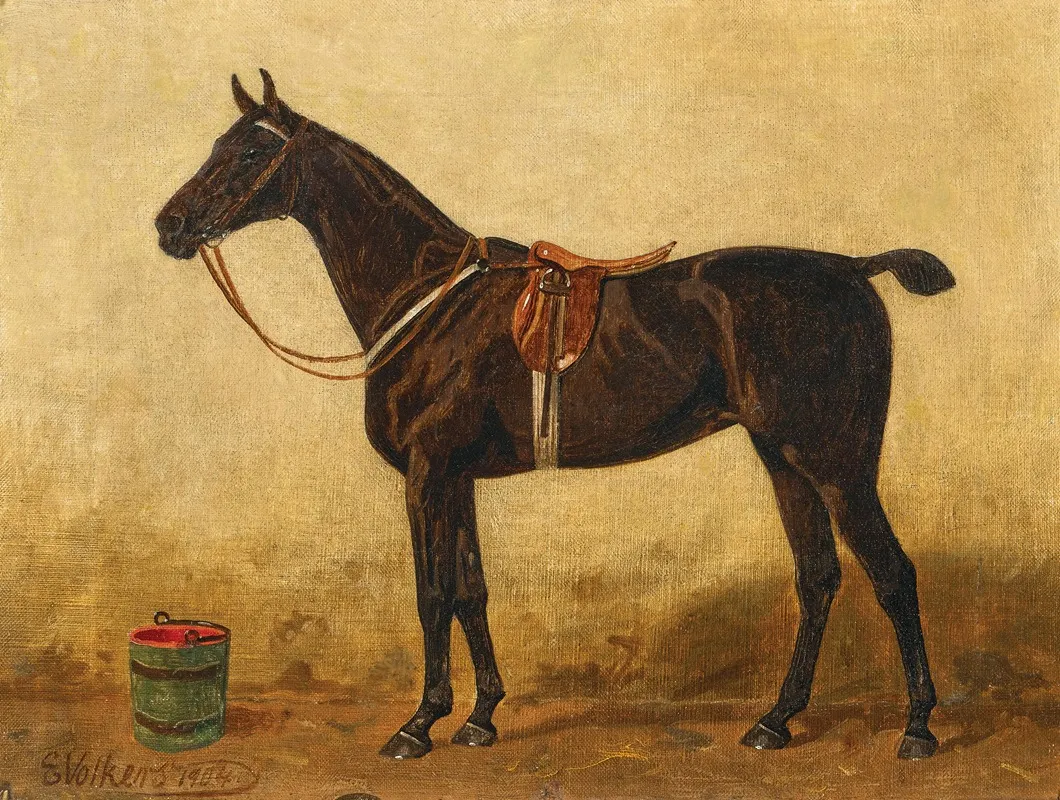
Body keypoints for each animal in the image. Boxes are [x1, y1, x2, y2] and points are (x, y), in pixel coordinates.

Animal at [155, 71, 955, 760]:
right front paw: (480, 717)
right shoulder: (456, 479)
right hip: (783, 459)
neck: (430, 300)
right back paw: (775, 721)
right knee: (818, 577)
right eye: (217, 144)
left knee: (892, 574)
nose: (171, 225)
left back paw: (917, 727)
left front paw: (418, 723)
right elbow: (471, 592)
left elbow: (431, 595)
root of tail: (852, 269)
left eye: (250, 150)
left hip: (836, 464)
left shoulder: (426, 475)